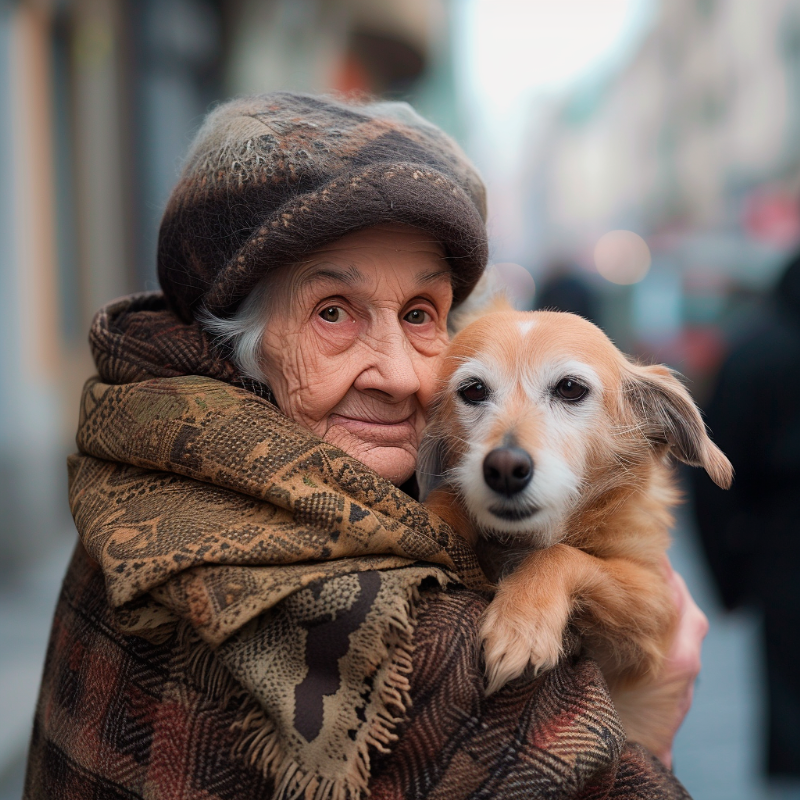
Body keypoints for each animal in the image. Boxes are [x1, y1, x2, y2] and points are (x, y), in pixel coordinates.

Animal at [418, 304, 732, 752]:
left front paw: (522, 621)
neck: (527, 539)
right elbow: (447, 499)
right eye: (473, 390)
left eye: (569, 388)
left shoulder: (650, 622)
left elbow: (562, 554)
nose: (504, 468)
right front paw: (440, 516)